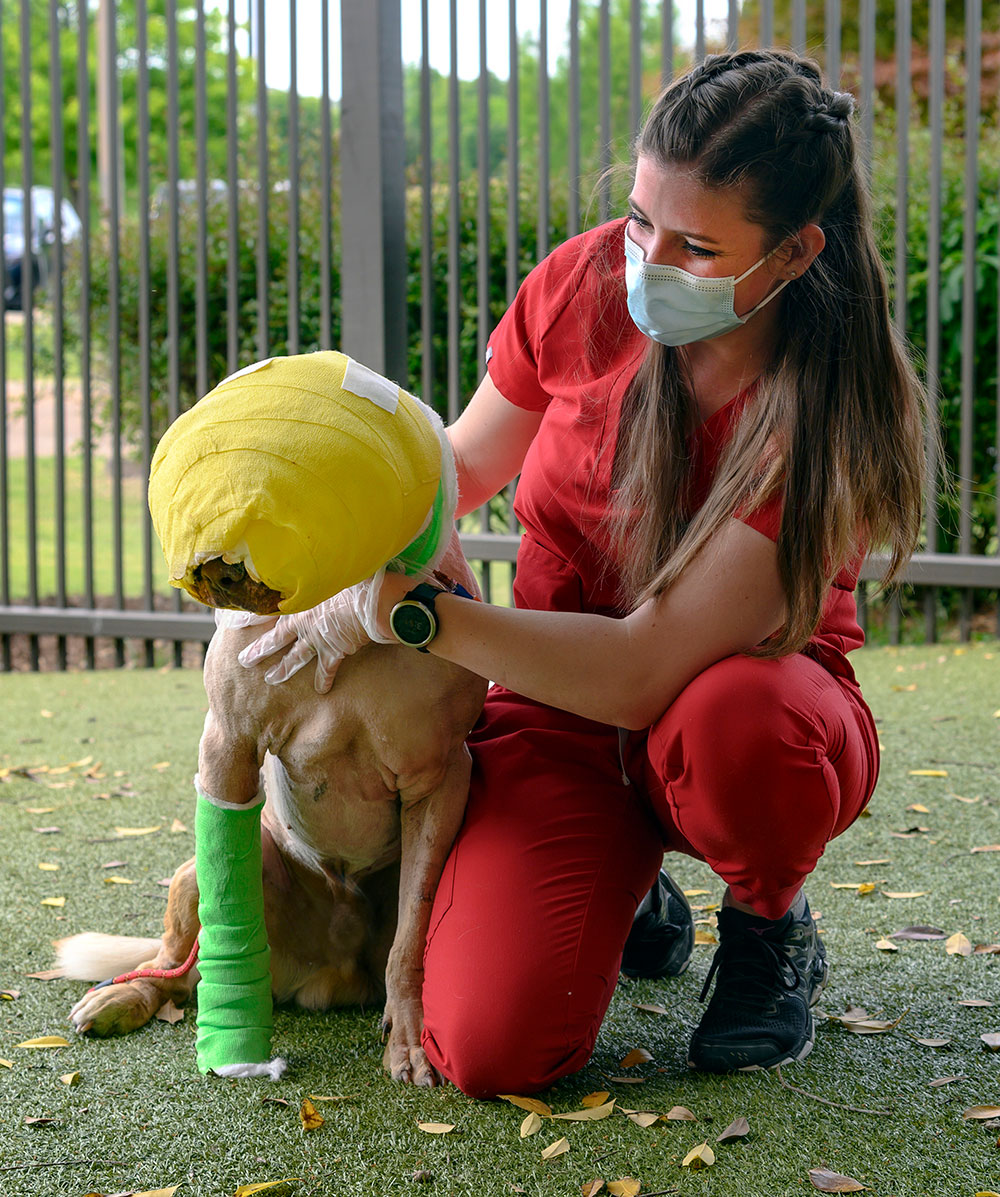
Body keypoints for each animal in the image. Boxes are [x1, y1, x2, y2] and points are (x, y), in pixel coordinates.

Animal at [56, 548, 486, 1091]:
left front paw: (408, 1040)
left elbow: (411, 935)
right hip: (202, 872)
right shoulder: (227, 744)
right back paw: (122, 997)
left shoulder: (441, 781)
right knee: (173, 966)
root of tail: (328, 975)